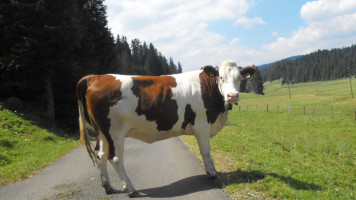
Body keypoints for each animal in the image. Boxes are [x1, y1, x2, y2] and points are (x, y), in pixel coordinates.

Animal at [78, 59, 256, 197]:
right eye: (221, 77)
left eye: (239, 77)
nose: (232, 96)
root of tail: (96, 77)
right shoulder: (202, 125)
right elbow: (206, 151)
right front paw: (212, 174)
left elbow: (208, 153)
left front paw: (213, 171)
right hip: (115, 132)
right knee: (115, 158)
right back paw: (131, 189)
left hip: (102, 132)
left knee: (101, 155)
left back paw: (108, 186)